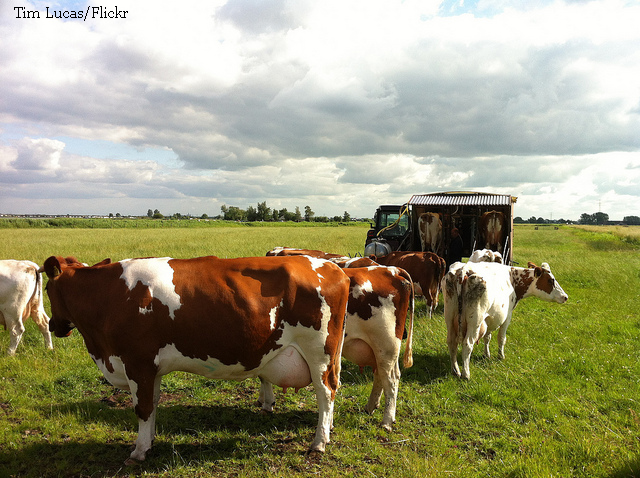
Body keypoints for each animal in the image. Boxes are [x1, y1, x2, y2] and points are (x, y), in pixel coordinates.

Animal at [44, 258, 350, 464]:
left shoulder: (137, 362)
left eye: (46, 291)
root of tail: (330, 266)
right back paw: (327, 431)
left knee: (325, 393)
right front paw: (150, 441)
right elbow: (153, 404)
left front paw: (139, 451)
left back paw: (318, 442)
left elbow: (142, 408)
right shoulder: (152, 369)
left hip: (319, 353)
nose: (52, 325)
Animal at [260, 264, 416, 432]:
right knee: (381, 375)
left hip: (386, 345)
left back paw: (387, 421)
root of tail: (391, 270)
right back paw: (371, 406)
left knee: (391, 379)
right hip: (380, 350)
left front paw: (267, 403)